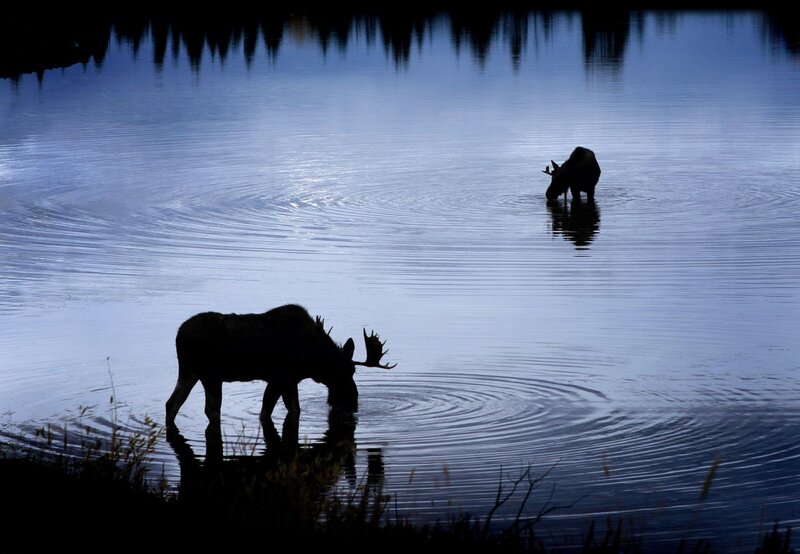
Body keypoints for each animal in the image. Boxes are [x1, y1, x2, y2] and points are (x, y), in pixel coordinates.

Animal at [165, 304, 395, 429]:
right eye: (345, 372)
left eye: (353, 370)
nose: (353, 400)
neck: (313, 360)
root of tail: (178, 336)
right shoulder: (279, 378)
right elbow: (267, 412)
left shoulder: (290, 381)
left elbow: (294, 409)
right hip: (211, 375)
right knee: (211, 409)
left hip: (189, 372)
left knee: (172, 403)